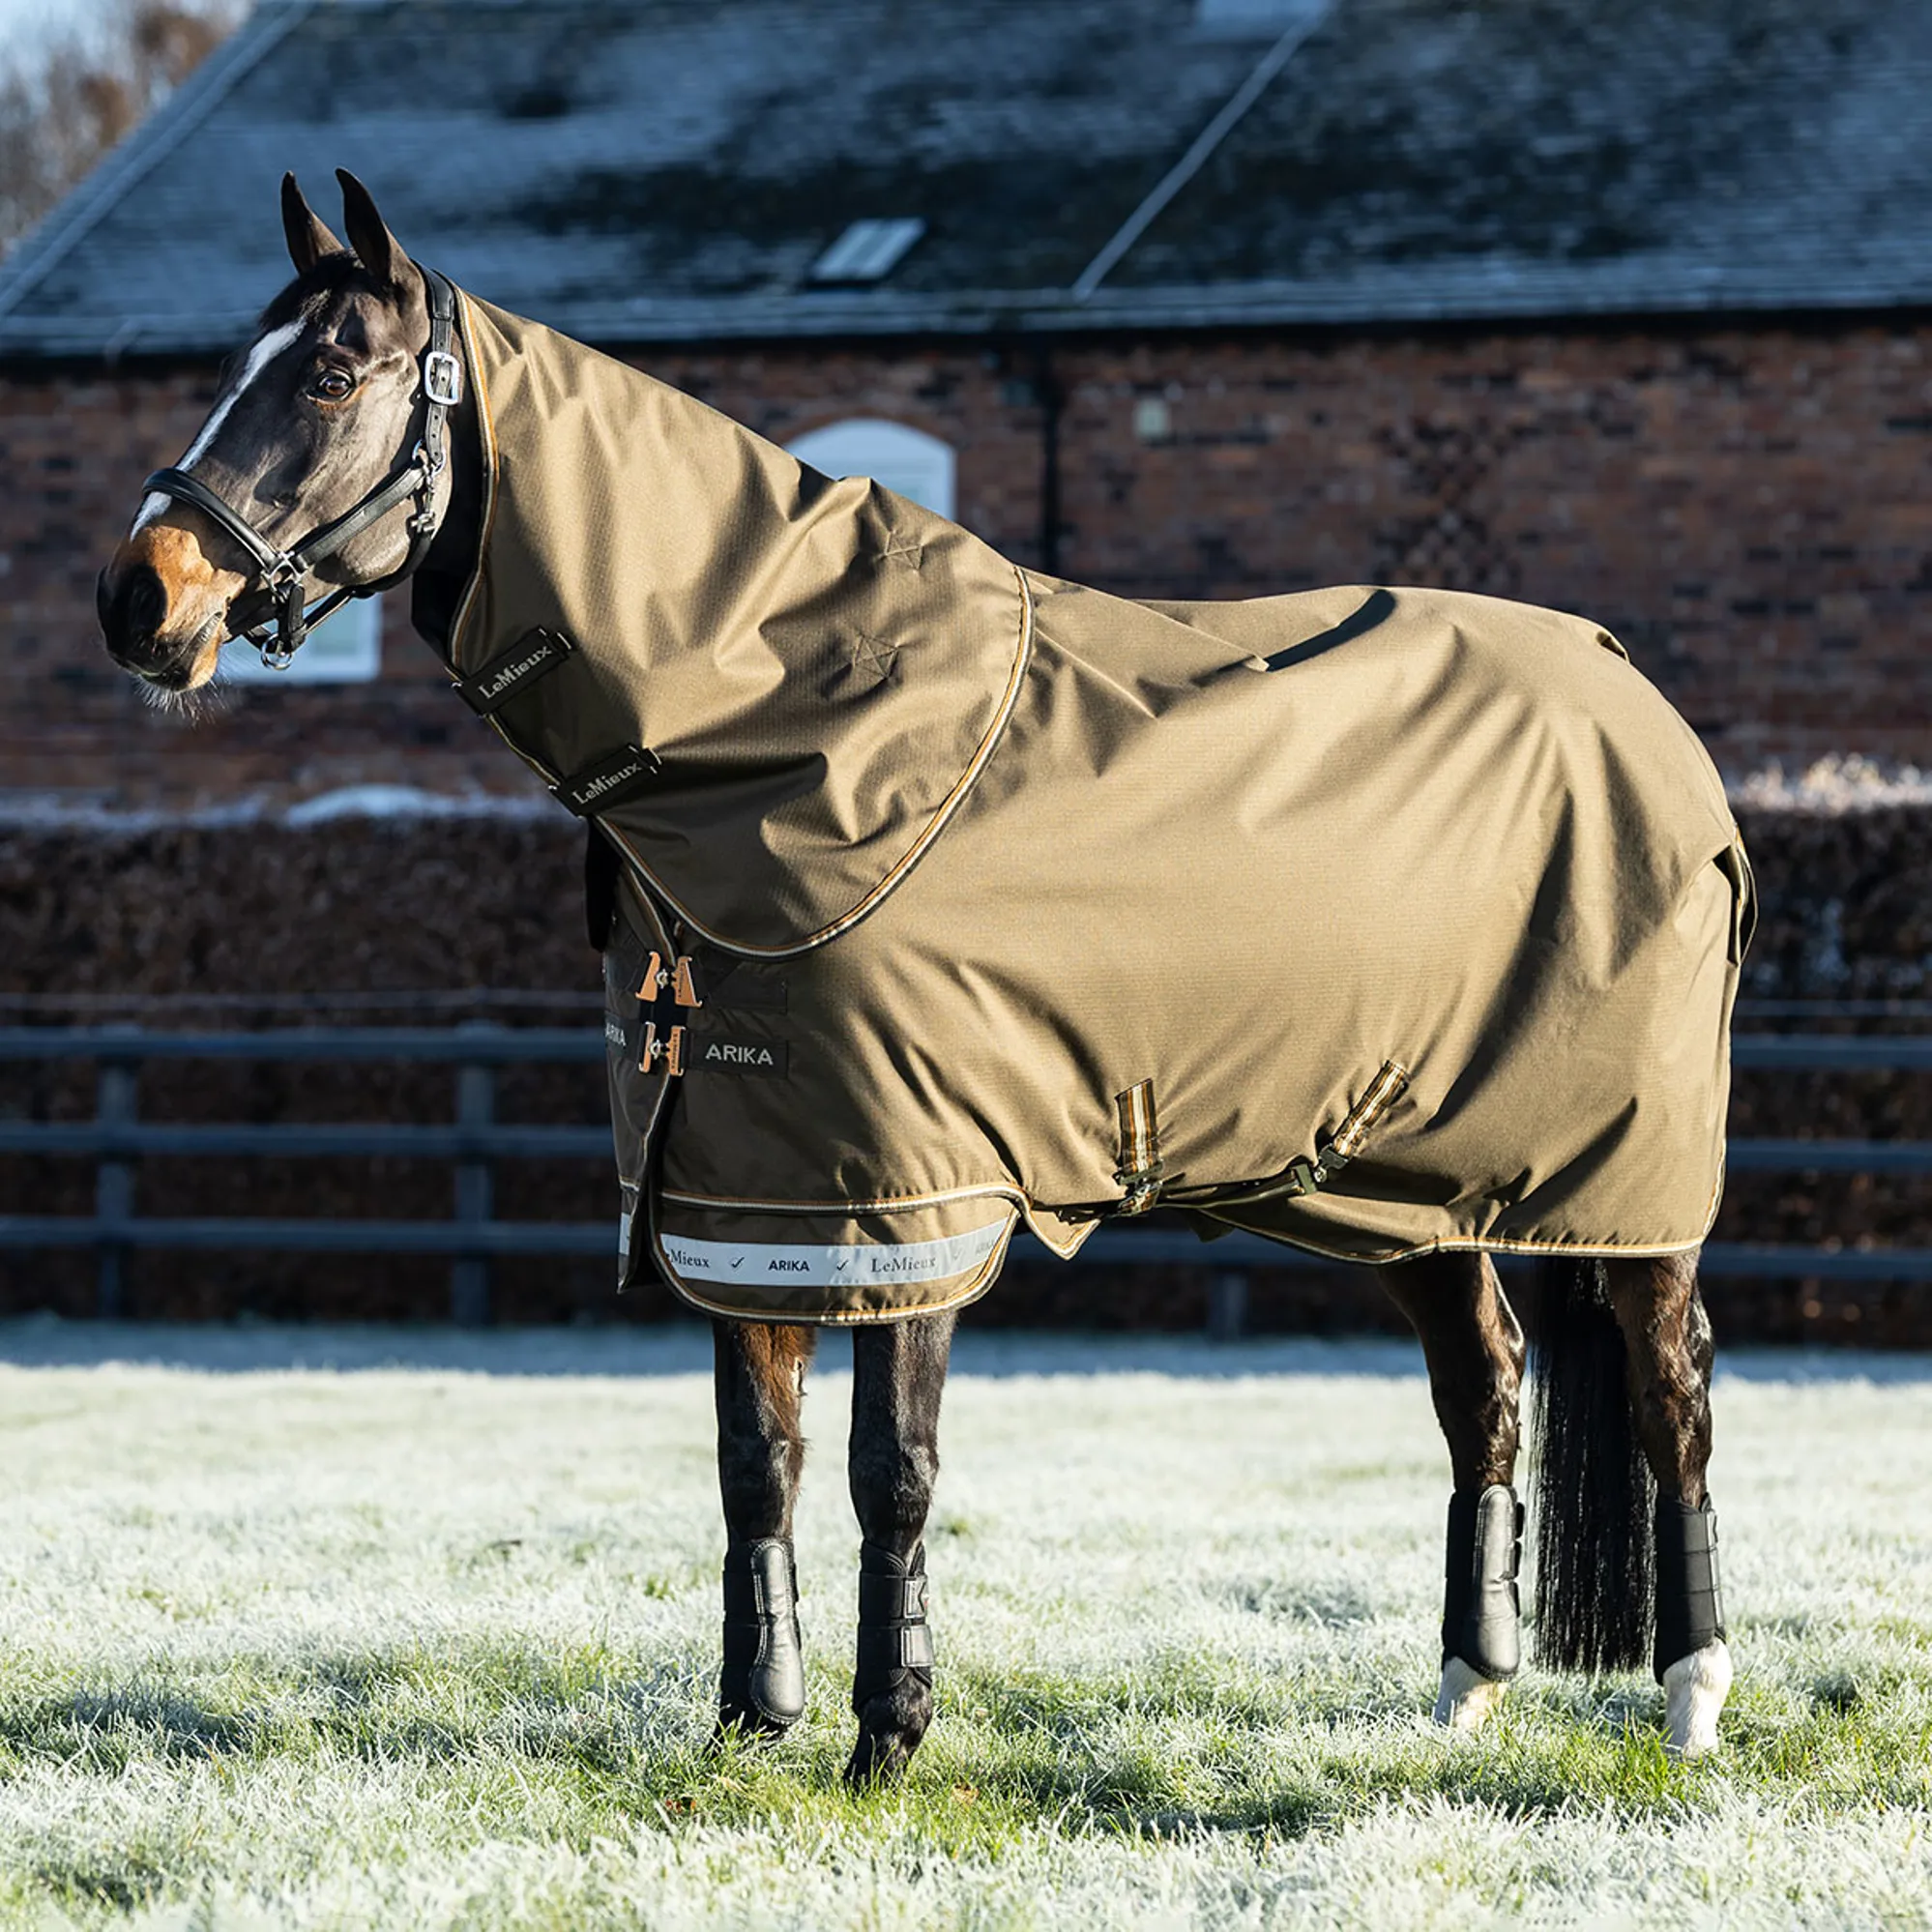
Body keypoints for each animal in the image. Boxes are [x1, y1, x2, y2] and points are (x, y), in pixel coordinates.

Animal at [98, 170, 1740, 1780]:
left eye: (326, 373)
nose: (138, 598)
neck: (783, 729)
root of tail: (1632, 691)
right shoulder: (742, 1190)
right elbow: (754, 1465)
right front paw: (750, 1722)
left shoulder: (912, 1197)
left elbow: (891, 1469)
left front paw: (887, 1736)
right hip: (1402, 1176)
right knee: (1484, 1376)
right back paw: (1466, 1691)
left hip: (1626, 1179)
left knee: (1670, 1382)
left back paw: (1689, 1696)